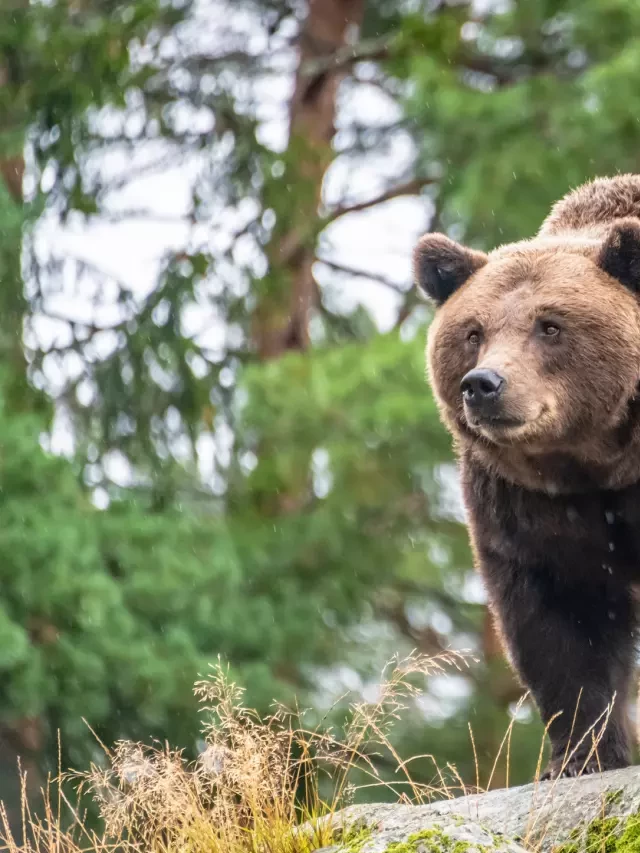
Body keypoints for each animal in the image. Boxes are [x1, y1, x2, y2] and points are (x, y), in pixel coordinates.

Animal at [416, 175, 640, 780]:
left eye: (550, 325)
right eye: (473, 332)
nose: (484, 384)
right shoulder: (526, 505)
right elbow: (557, 624)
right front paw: (580, 757)